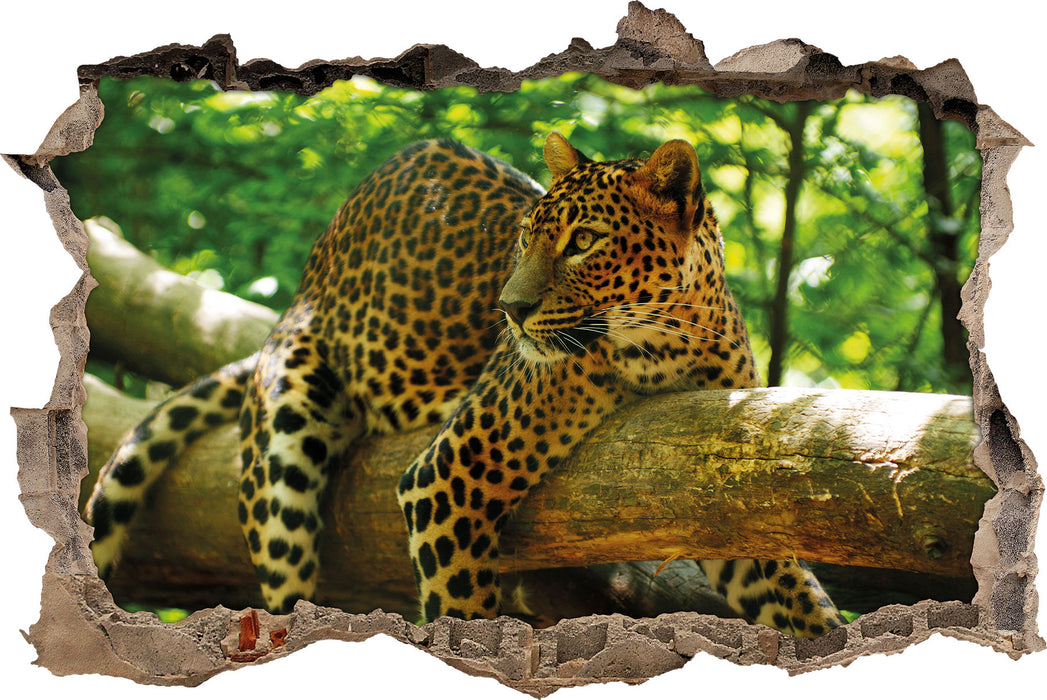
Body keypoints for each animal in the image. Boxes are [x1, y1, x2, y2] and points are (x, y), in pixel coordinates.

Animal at [87, 133, 846, 638]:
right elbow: (460, 614)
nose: (509, 309)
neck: (671, 342)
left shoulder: (717, 495)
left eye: (583, 242)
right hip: (285, 451)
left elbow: (795, 595)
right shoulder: (449, 477)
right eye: (527, 237)